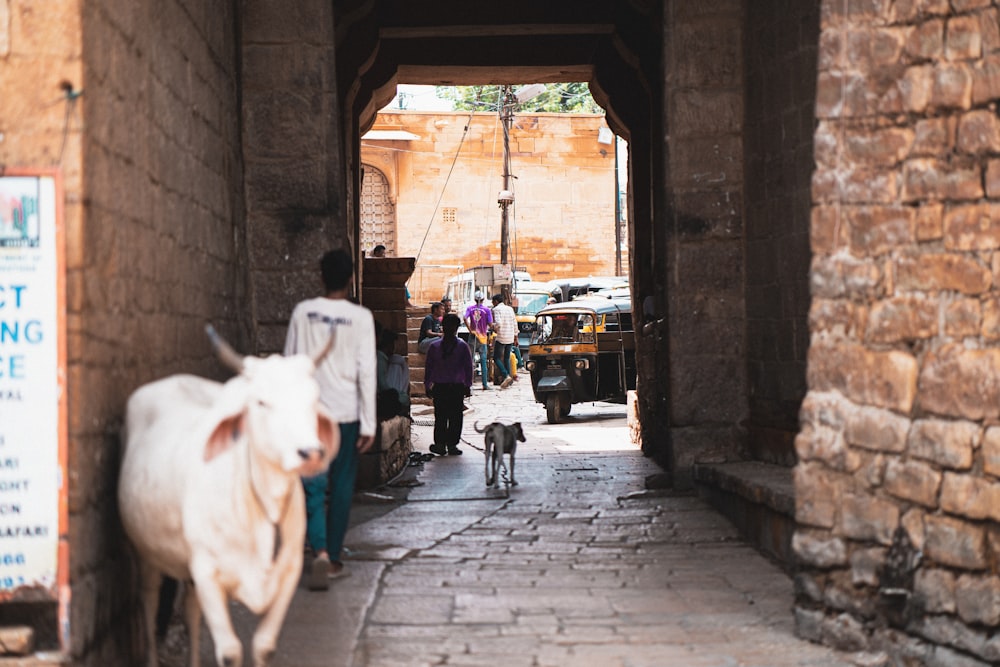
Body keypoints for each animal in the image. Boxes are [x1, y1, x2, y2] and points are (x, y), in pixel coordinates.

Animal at [118, 328, 340, 667]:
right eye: (261, 401)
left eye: (314, 399)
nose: (310, 453)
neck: (262, 505)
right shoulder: (207, 571)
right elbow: (230, 652)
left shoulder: (288, 570)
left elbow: (264, 646)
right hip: (146, 553)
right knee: (149, 600)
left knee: (191, 610)